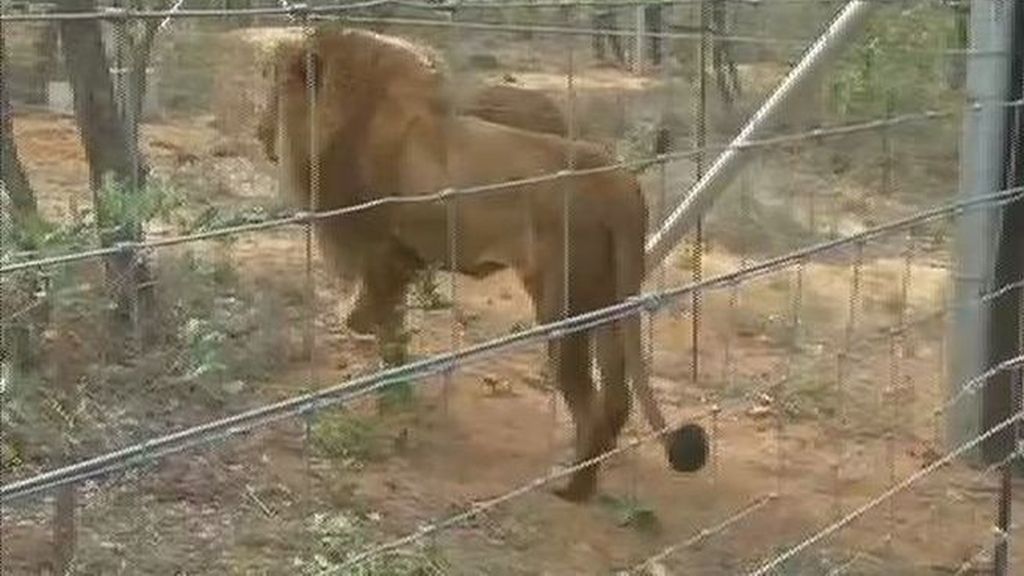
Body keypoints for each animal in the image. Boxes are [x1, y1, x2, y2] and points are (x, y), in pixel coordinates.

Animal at [262, 29, 655, 500]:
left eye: (273, 92)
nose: (261, 135)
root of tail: (617, 182)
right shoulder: (403, 254)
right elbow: (391, 325)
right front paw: (393, 386)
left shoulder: (379, 245)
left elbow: (379, 318)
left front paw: (365, 340)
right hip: (609, 294)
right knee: (617, 394)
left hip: (565, 303)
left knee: (587, 399)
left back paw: (571, 485)